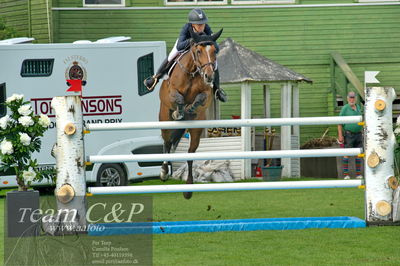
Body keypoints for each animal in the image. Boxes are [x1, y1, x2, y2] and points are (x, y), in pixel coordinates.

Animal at [158, 28, 223, 198]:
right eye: (198, 51)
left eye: (214, 51)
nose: (209, 75)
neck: (193, 72)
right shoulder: (172, 92)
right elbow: (178, 98)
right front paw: (180, 111)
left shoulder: (206, 93)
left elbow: (201, 97)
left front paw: (191, 108)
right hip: (164, 120)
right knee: (167, 142)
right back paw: (164, 172)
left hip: (196, 130)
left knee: (190, 153)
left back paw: (188, 188)